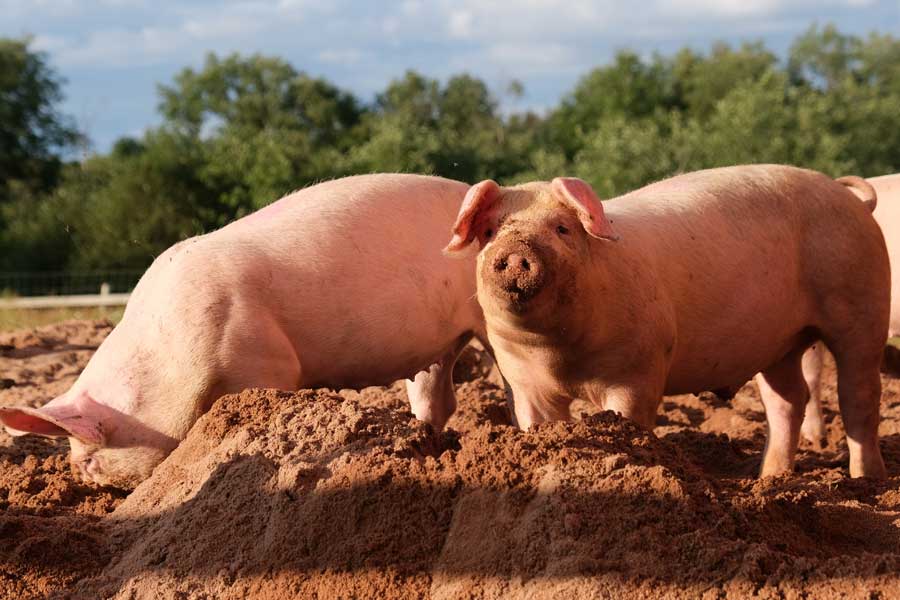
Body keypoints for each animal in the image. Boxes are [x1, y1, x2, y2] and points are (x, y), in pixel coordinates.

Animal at [0, 174, 490, 489]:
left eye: (88, 459)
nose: (82, 480)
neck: (165, 360)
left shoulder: (263, 362)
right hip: (438, 346)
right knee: (438, 398)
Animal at [445, 165, 889, 478]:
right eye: (490, 230)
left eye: (562, 228)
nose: (515, 250)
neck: (559, 355)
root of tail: (851, 199)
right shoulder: (522, 379)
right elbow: (538, 423)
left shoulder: (638, 369)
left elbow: (628, 420)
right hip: (779, 342)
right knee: (788, 399)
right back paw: (768, 477)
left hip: (862, 302)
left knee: (859, 395)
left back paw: (866, 482)